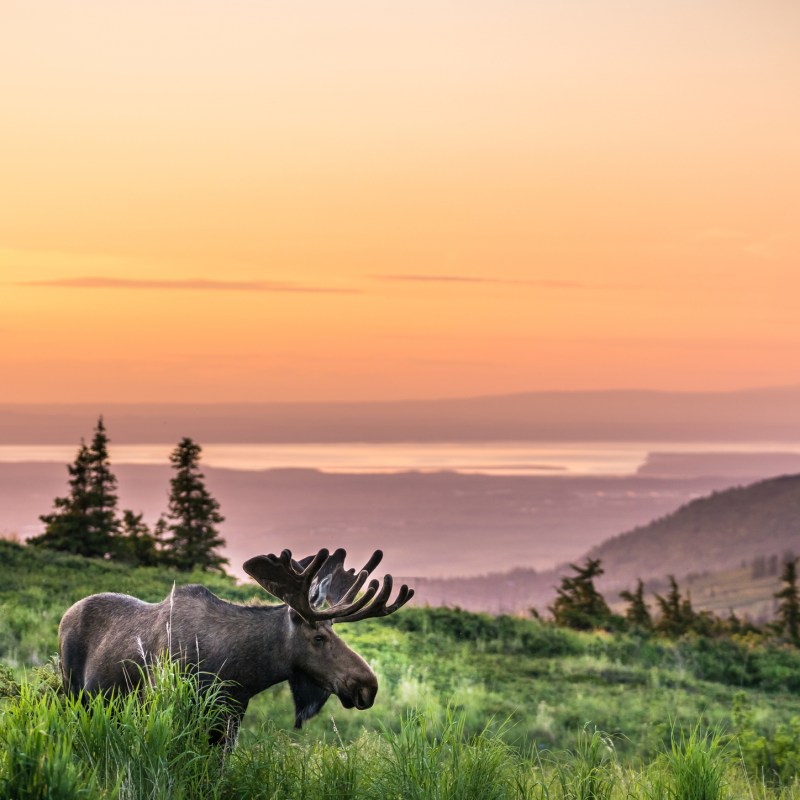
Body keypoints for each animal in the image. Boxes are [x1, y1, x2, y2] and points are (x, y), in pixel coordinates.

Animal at [57, 548, 412, 740]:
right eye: (319, 637)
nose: (368, 685)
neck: (240, 673)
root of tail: (66, 613)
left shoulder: (229, 719)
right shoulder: (159, 704)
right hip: (73, 691)